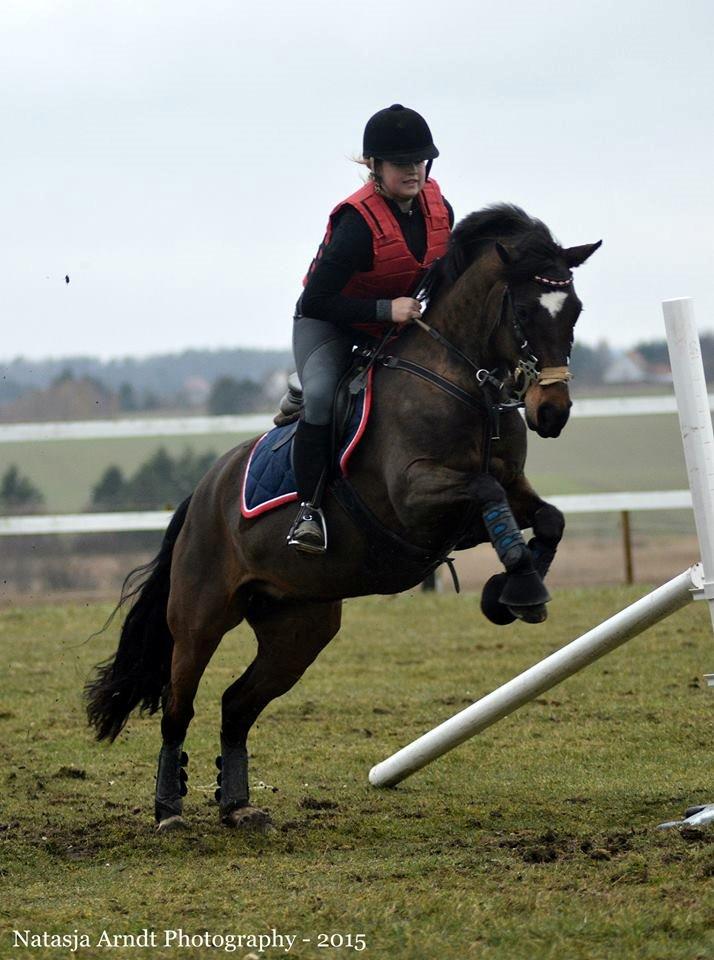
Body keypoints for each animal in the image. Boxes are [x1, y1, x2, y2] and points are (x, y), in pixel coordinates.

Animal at [86, 204, 596, 832]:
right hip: (201, 617)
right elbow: (484, 490)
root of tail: (202, 493)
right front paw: (519, 587)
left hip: (300, 626)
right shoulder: (415, 500)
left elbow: (547, 519)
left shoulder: (493, 501)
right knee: (180, 705)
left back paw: (238, 805)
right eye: (523, 311)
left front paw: (514, 590)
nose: (552, 412)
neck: (463, 383)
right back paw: (169, 809)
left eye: (574, 310)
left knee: (237, 704)